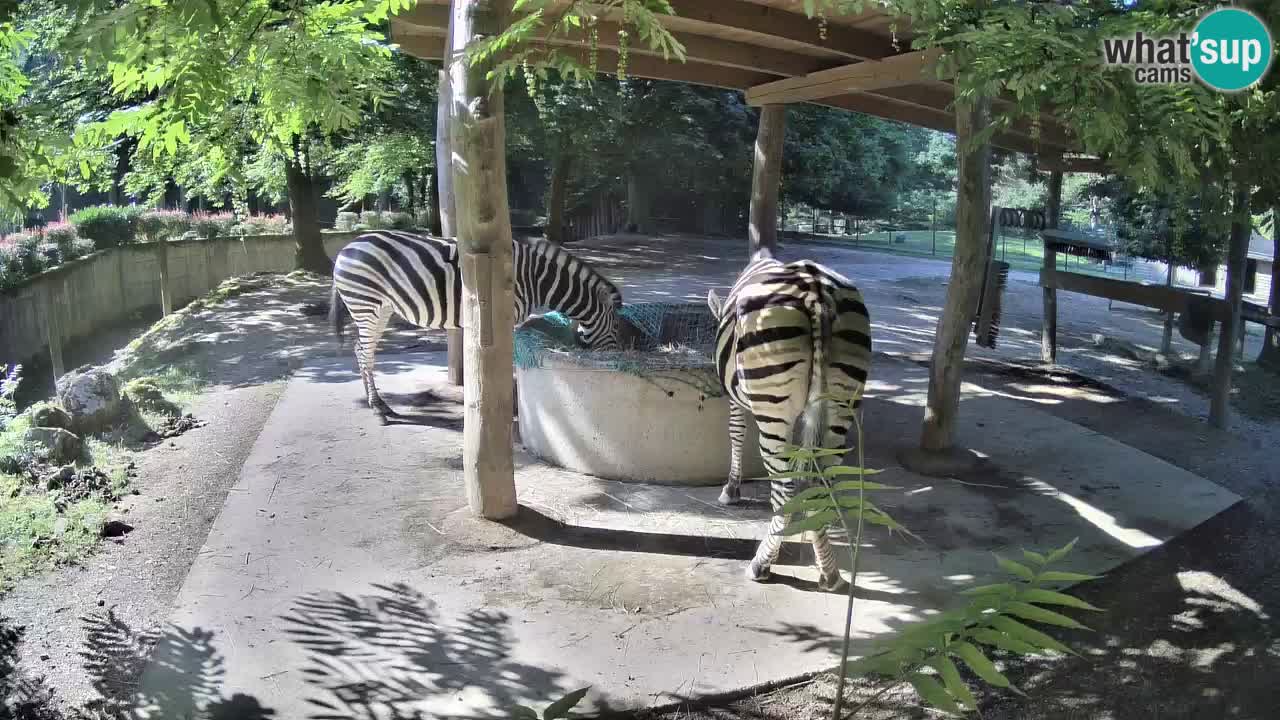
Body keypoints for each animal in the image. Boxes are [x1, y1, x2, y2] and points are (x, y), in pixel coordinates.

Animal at [329, 230, 623, 421]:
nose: (616, 361)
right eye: (617, 329)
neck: (537, 280)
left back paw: (379, 405)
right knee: (364, 352)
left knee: (361, 350)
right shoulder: (507, 316)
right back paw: (378, 409)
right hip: (366, 303)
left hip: (382, 308)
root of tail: (347, 246)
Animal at [707, 248, 872, 590]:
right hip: (841, 405)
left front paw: (731, 489)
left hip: (773, 408)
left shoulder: (735, 398)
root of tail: (816, 290)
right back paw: (829, 571)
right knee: (822, 483)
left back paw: (761, 564)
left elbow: (736, 433)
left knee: (783, 490)